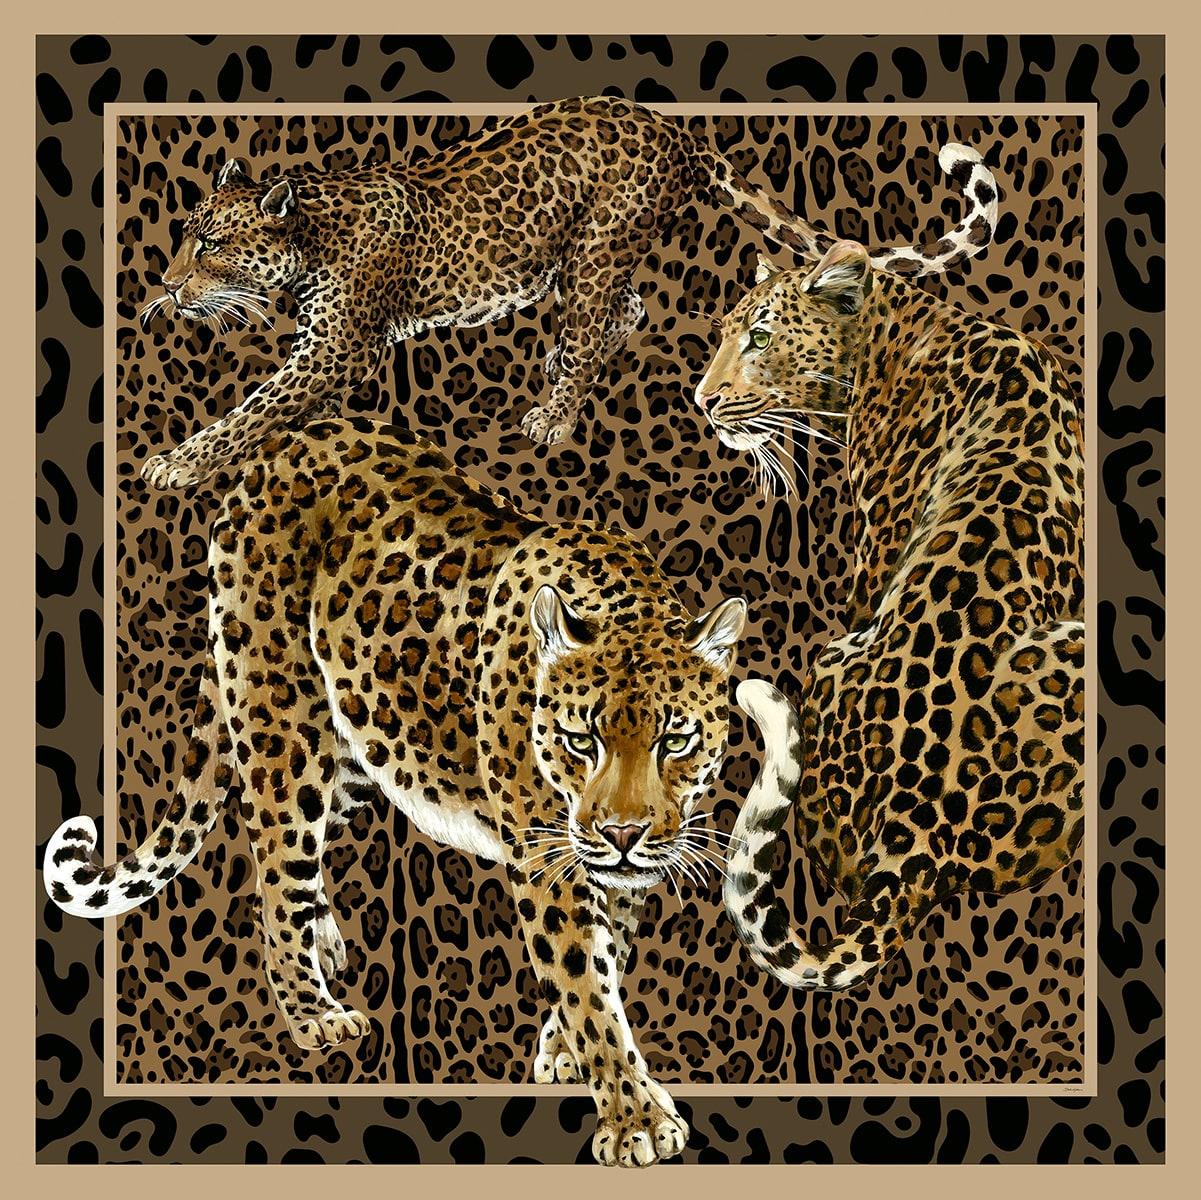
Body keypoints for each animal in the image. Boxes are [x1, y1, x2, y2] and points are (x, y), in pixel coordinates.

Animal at [44, 415, 756, 1167]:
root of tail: (287, 443)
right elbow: (585, 982)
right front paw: (635, 1120)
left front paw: (565, 1054)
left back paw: (325, 939)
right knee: (274, 866)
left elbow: (607, 954)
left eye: (674, 740)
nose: (622, 833)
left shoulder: (608, 864)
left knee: (303, 854)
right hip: (282, 727)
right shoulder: (546, 858)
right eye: (578, 740)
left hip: (361, 744)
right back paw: (313, 1012)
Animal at [137, 95, 998, 489]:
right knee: (624, 310)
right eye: (184, 231)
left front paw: (177, 463)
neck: (313, 230)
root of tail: (672, 128)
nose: (166, 286)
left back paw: (554, 412)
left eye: (210, 245)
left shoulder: (336, 349)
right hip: (577, 259)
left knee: (599, 323)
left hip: (595, 247)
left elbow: (254, 410)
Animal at [693, 239, 1085, 991]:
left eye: (760, 338)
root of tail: (920, 835)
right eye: (725, 334)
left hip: (833, 655)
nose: (703, 400)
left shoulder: (876, 551)